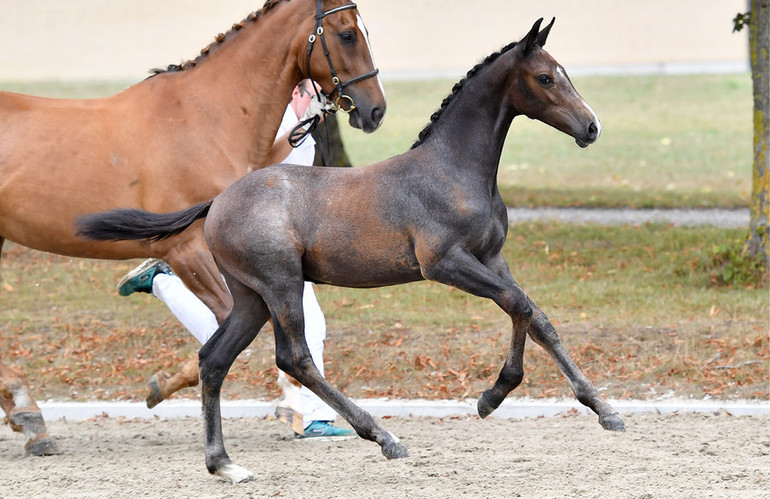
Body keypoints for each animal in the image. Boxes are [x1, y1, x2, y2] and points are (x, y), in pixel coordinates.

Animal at [0, 0, 384, 456]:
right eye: (347, 34)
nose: (375, 110)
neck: (204, 119)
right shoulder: (188, 251)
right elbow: (226, 324)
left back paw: (29, 418)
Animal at [78, 17, 620, 482]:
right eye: (546, 78)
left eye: (563, 72)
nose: (592, 127)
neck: (456, 170)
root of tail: (218, 201)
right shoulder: (445, 263)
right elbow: (519, 305)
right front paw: (493, 395)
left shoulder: (491, 258)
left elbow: (537, 318)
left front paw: (603, 410)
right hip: (281, 283)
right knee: (295, 357)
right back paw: (383, 436)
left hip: (252, 297)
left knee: (214, 358)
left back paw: (224, 463)